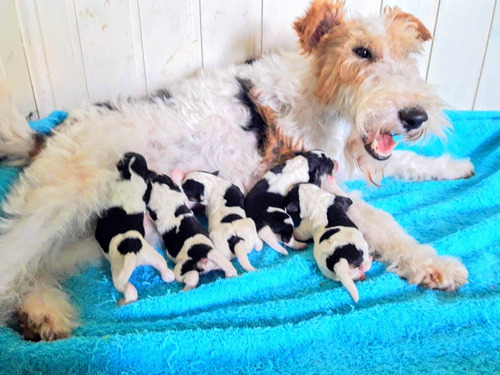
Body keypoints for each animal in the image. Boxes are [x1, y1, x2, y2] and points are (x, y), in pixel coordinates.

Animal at [0, 0, 472, 340]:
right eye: (361, 52)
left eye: (409, 55)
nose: (415, 117)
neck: (317, 91)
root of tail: (46, 136)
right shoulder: (315, 178)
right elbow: (381, 220)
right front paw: (435, 264)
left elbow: (406, 162)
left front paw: (456, 165)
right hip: (56, 206)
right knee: (13, 262)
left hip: (88, 232)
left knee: (36, 271)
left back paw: (42, 313)